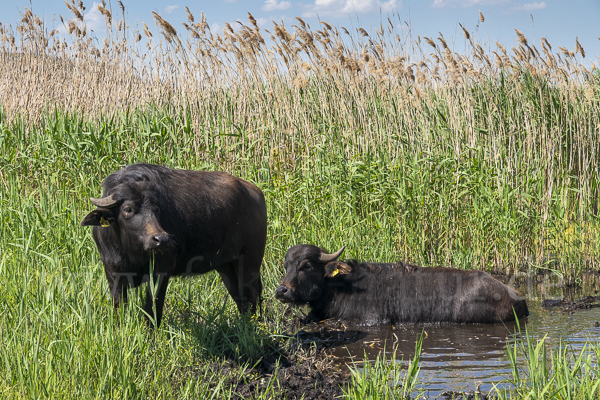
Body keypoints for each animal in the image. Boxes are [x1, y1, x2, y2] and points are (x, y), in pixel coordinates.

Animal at [81, 163, 268, 328]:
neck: (130, 251)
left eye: (156, 209)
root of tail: (256, 193)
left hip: (250, 262)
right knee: (240, 298)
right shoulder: (112, 272)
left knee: (251, 295)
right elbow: (119, 307)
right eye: (128, 209)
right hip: (226, 266)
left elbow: (153, 310)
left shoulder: (161, 271)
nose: (162, 239)